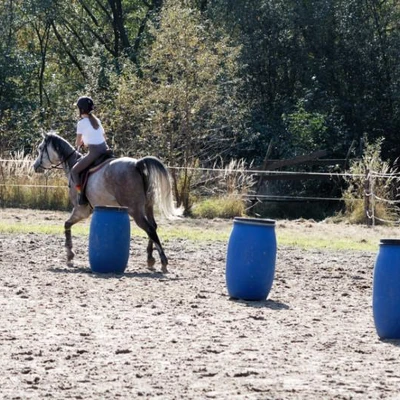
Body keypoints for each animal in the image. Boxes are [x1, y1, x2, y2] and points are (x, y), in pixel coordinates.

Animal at [32, 133, 180, 274]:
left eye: (40, 148)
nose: (35, 166)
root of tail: (137, 164)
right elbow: (67, 225)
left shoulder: (81, 211)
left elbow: (66, 224)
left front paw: (69, 256)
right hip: (147, 207)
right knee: (153, 227)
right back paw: (150, 260)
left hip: (135, 210)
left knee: (149, 229)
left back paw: (163, 262)